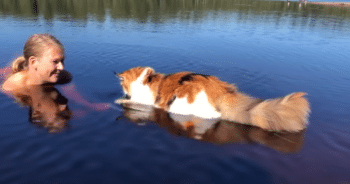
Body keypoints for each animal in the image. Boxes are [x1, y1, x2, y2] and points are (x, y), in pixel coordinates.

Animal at [116, 67, 310, 132]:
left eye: (124, 85)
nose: (126, 92)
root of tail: (221, 92)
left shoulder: (145, 103)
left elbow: (133, 102)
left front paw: (120, 101)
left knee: (216, 116)